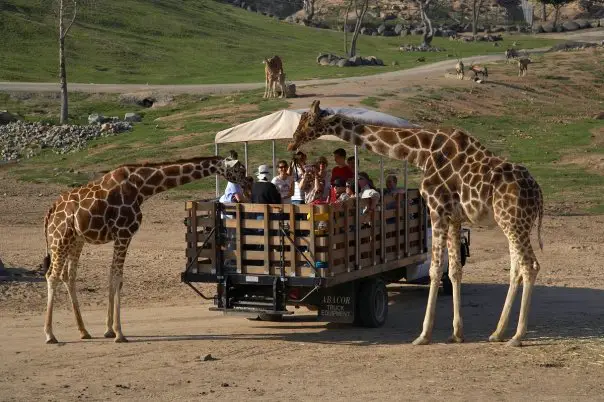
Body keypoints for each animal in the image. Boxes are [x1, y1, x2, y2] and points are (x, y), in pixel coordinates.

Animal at [42, 154, 248, 342]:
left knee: (68, 276)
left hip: (76, 240)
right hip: (60, 239)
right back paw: (50, 334)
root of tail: (50, 212)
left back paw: (83, 331)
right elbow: (117, 277)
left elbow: (113, 277)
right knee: (52, 276)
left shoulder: (122, 235)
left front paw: (109, 330)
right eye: (240, 169)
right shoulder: (124, 233)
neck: (142, 188)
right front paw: (119, 333)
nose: (249, 182)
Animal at [286, 99, 544, 346]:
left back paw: (517, 337)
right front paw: (457, 334)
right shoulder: (454, 218)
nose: (292, 144)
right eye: (300, 121)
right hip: (511, 223)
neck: (421, 153)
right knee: (516, 269)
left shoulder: (437, 209)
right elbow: (454, 271)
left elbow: (435, 269)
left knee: (530, 266)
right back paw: (498, 333)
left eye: (310, 123)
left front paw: (424, 335)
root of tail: (539, 194)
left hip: (514, 221)